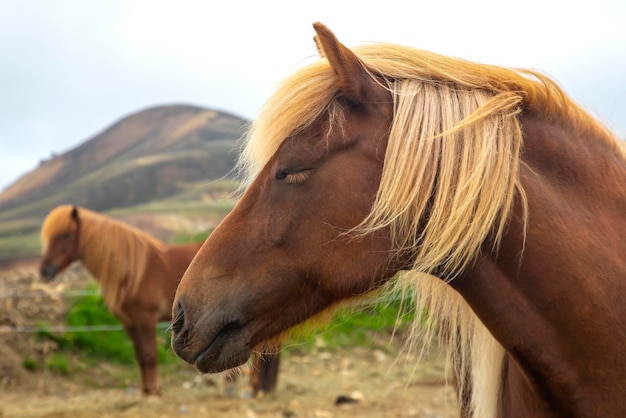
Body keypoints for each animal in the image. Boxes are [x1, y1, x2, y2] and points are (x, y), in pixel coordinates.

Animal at [40, 205, 280, 396]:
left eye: (65, 235)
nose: (44, 271)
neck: (133, 271)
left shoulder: (145, 318)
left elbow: (149, 355)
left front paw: (154, 391)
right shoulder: (129, 323)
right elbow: (140, 357)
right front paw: (146, 391)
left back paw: (253, 389)